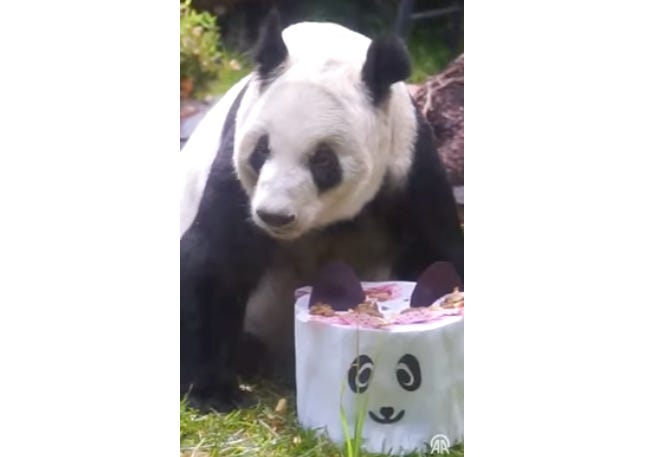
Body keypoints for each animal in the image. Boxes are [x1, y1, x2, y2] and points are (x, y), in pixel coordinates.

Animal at [180, 11, 464, 412]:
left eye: (322, 160)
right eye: (261, 150)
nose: (274, 216)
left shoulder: (408, 162)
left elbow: (435, 256)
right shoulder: (236, 173)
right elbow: (215, 262)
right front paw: (213, 391)